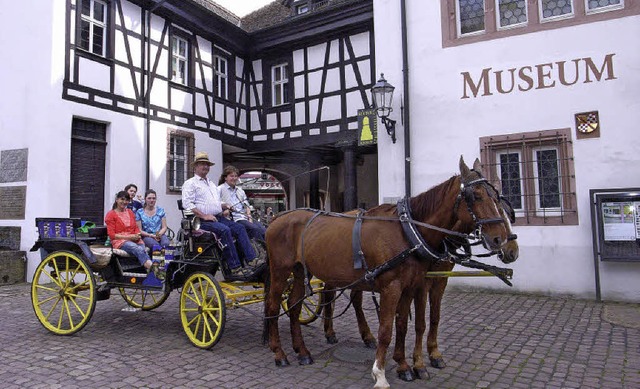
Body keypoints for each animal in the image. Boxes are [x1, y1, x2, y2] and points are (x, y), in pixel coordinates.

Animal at [264, 156, 510, 386]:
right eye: (476, 196)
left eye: (496, 196)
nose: (501, 239)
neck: (408, 232)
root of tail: (277, 218)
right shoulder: (392, 287)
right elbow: (386, 330)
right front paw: (380, 373)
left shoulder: (410, 286)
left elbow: (402, 325)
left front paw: (404, 365)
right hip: (280, 271)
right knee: (274, 306)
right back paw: (279, 352)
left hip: (299, 271)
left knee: (294, 306)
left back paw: (302, 351)